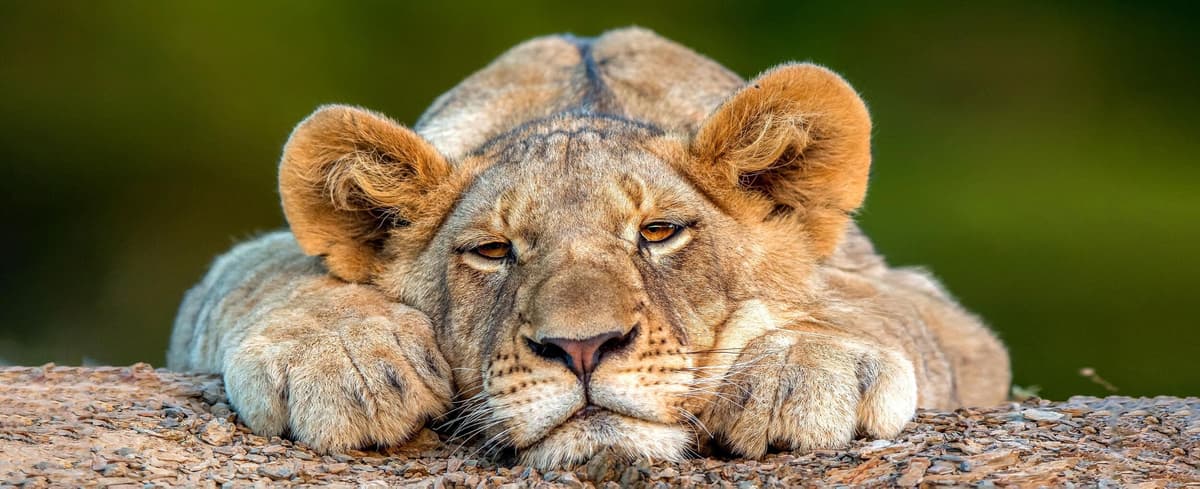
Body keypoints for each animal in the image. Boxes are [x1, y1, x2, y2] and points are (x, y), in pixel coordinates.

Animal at [168, 27, 1009, 467]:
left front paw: (806, 370)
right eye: (493, 251)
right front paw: (343, 362)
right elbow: (265, 272)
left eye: (658, 232)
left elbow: (871, 308)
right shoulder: (233, 277)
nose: (582, 348)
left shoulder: (937, 310)